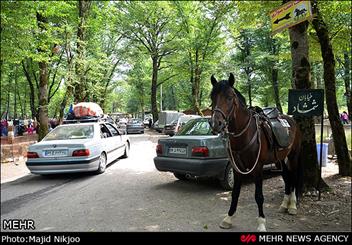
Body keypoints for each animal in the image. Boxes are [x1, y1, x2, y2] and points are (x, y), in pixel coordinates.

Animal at [210, 72, 302, 232]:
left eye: (229, 97)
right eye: (212, 97)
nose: (216, 124)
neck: (245, 134)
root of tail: (291, 120)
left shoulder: (258, 167)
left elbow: (259, 196)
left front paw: (261, 223)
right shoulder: (237, 169)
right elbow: (235, 193)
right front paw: (228, 218)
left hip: (293, 155)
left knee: (294, 177)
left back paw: (293, 206)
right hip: (280, 159)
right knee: (286, 177)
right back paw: (284, 204)